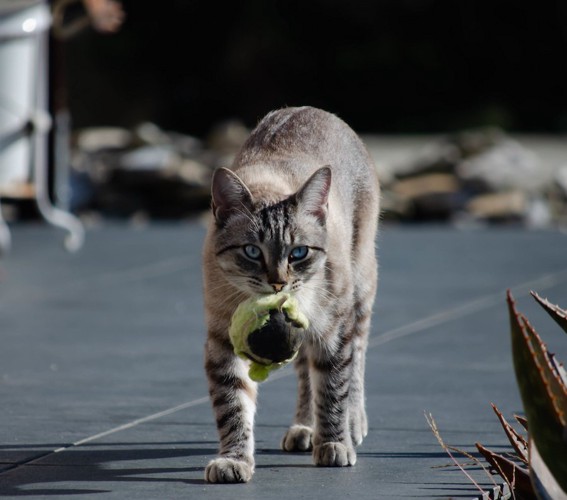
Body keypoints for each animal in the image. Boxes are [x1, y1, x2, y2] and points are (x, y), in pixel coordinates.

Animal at [202, 106, 380, 484]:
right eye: (252, 252)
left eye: (298, 253)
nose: (278, 284)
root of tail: (311, 109)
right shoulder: (222, 339)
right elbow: (233, 405)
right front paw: (234, 461)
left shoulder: (333, 329)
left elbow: (333, 386)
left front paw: (334, 444)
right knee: (304, 373)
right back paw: (304, 428)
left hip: (359, 292)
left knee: (356, 360)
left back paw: (352, 425)